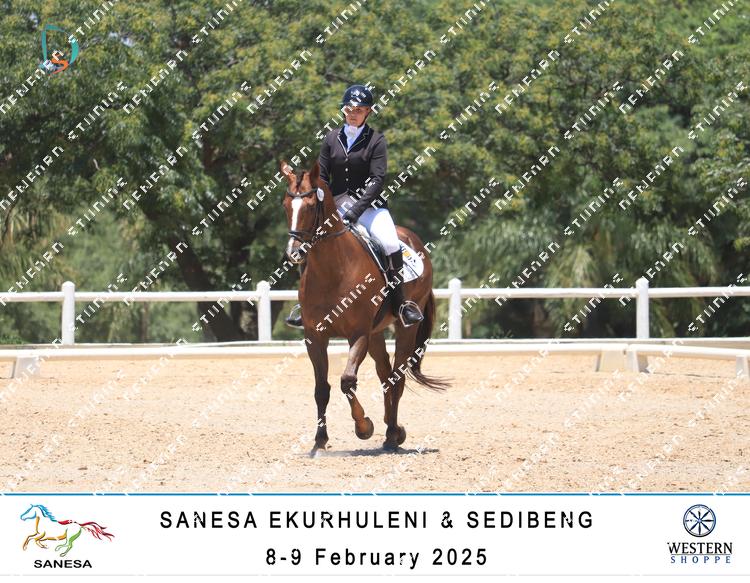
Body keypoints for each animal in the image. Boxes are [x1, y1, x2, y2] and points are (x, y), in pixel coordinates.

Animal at [280, 159, 449, 454]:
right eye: (286, 205)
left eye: (311, 206)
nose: (295, 253)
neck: (333, 271)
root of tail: (414, 240)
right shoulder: (315, 336)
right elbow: (321, 388)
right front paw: (320, 441)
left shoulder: (357, 333)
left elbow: (347, 381)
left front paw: (364, 427)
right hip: (376, 333)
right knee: (385, 375)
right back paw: (393, 431)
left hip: (403, 328)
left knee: (397, 377)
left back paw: (391, 435)